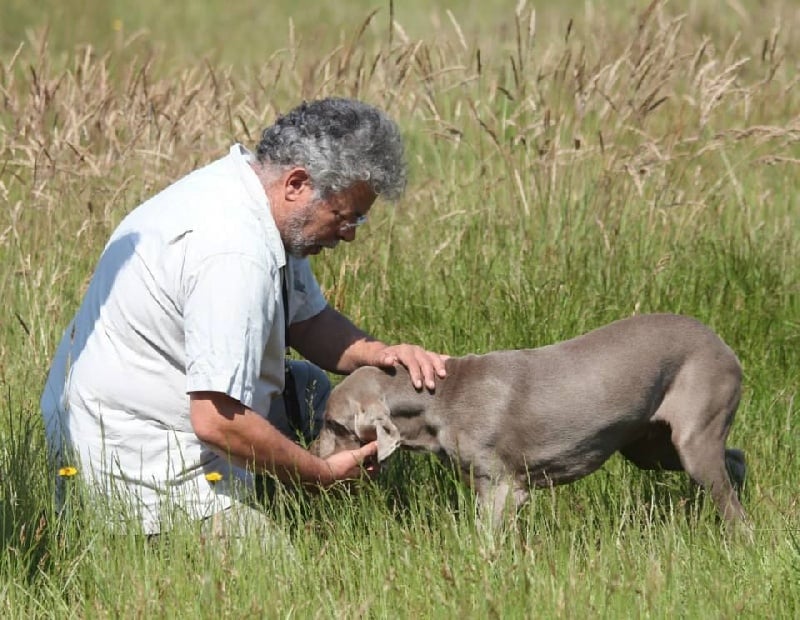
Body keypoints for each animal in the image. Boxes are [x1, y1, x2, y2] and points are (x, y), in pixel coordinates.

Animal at [312, 314, 749, 532]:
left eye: (333, 424)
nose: (312, 451)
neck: (442, 401)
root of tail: (723, 345)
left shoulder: (502, 487)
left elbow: (485, 537)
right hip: (648, 446)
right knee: (736, 459)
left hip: (695, 431)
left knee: (731, 504)